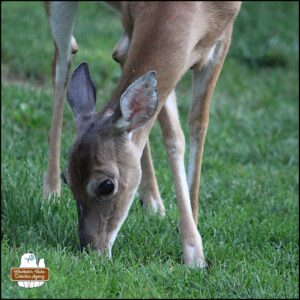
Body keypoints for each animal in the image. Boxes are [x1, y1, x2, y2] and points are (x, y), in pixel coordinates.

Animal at [44, 0, 241, 268]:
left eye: (106, 185)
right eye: (69, 179)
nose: (90, 250)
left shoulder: (223, 35)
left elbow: (197, 124)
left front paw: (194, 227)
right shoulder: (131, 21)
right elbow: (173, 135)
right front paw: (194, 253)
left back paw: (154, 204)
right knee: (61, 65)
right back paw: (49, 192)